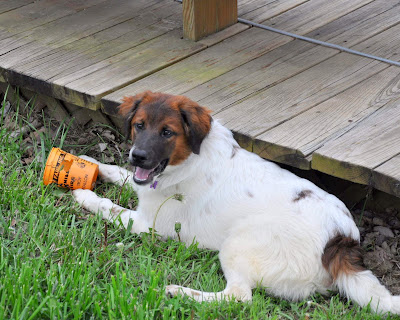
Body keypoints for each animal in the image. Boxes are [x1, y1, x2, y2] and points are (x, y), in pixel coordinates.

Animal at [72, 91, 400, 314]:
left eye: (167, 132)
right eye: (139, 125)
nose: (137, 156)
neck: (189, 158)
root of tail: (341, 240)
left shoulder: (146, 224)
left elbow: (108, 206)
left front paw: (84, 195)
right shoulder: (145, 188)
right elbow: (121, 173)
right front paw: (88, 163)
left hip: (238, 243)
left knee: (239, 296)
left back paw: (180, 292)